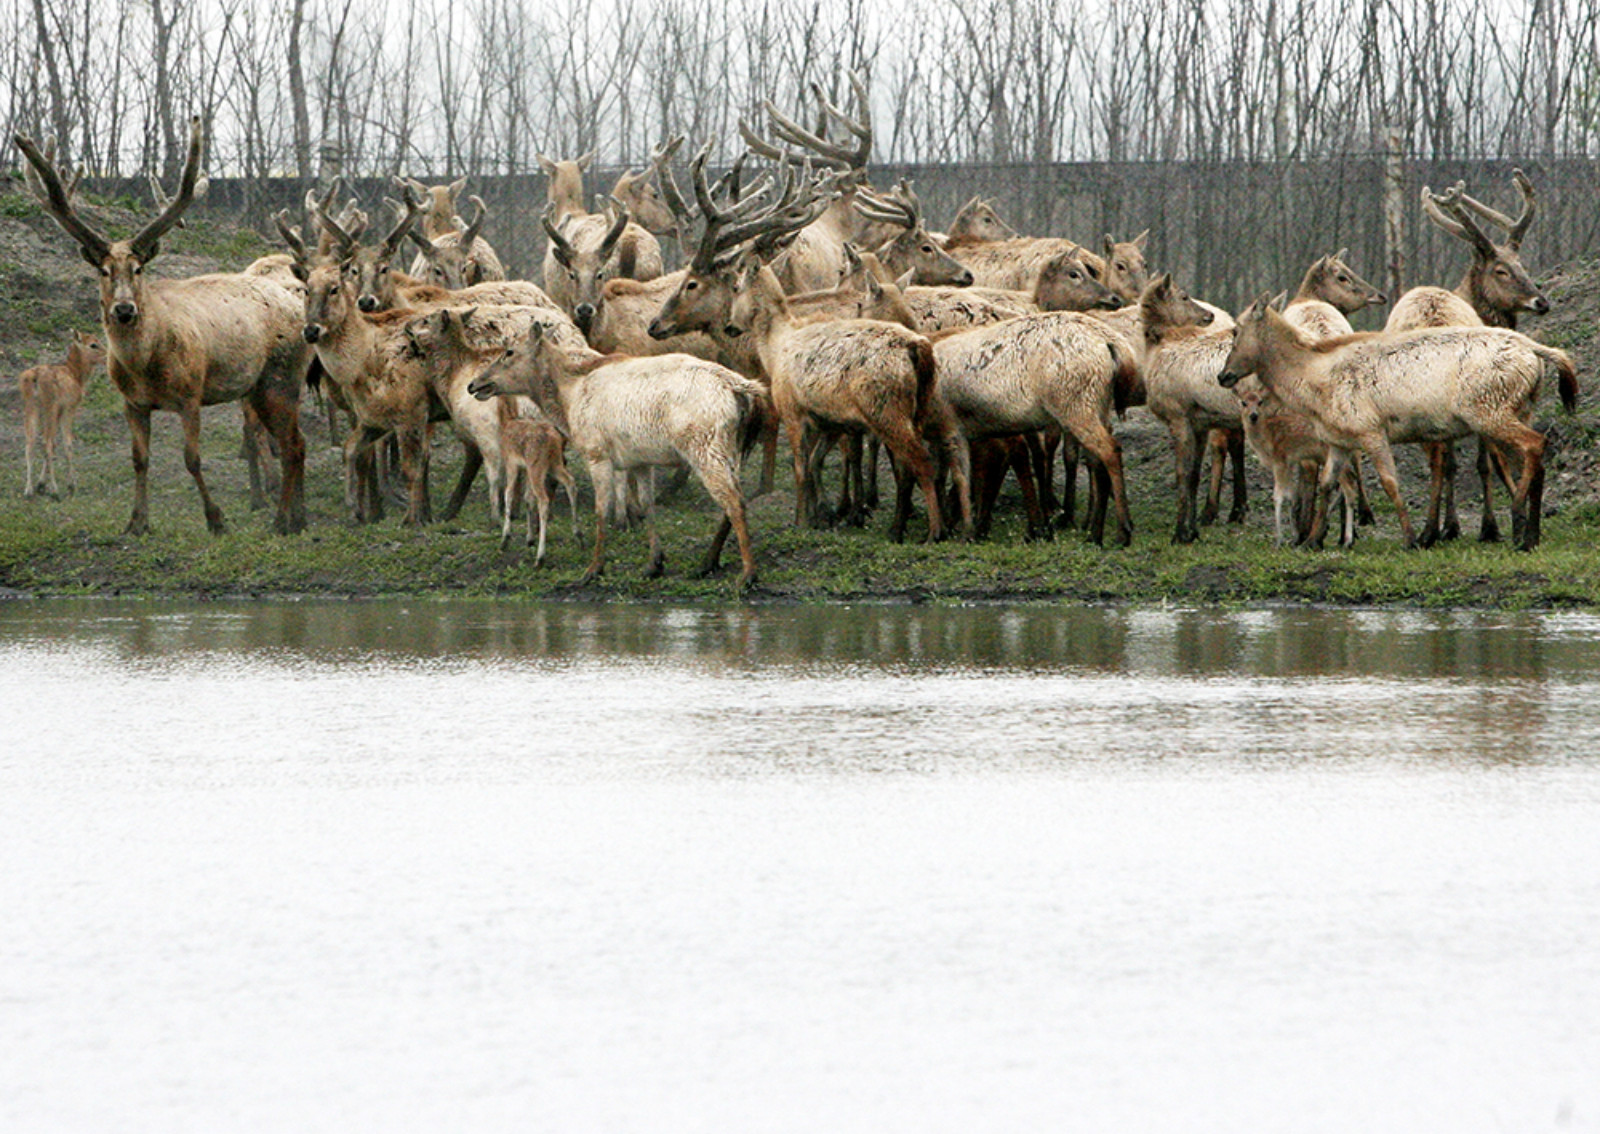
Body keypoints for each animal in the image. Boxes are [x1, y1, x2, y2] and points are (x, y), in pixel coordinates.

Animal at [17, 327, 103, 495]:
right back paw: (55, 490)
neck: (77, 376)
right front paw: (71, 484)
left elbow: (56, 443)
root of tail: (34, 378)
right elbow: (67, 443)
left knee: (30, 444)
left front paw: (41, 483)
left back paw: (29, 490)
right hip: (50, 405)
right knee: (46, 444)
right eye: (93, 344)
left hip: (31, 406)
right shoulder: (69, 407)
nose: (107, 354)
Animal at [1222, 295, 1574, 553]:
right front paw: (1311, 540)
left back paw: (1517, 522)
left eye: (1236, 331)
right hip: (1520, 407)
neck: (1312, 387)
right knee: (1533, 457)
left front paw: (1410, 538)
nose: (1224, 375)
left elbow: (1390, 482)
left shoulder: (1370, 429)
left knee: (1535, 444)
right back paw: (1530, 535)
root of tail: (1538, 353)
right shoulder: (1338, 439)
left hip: (1490, 411)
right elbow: (1327, 484)